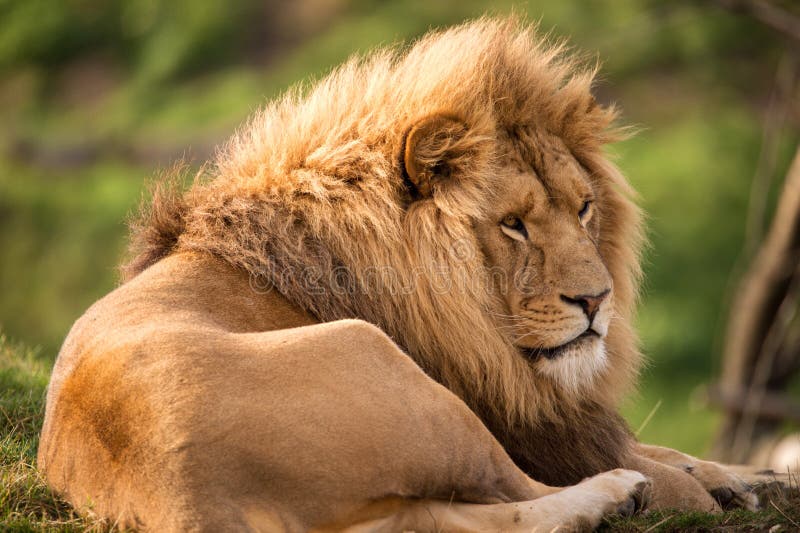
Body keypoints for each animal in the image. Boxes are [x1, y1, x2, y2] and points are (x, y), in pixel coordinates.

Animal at [38, 17, 776, 531]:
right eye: (513, 224)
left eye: (584, 207)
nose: (596, 301)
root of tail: (181, 499)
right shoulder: (508, 406)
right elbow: (628, 455)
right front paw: (703, 483)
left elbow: (662, 446)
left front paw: (745, 472)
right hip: (387, 367)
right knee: (523, 485)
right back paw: (623, 494)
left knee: (472, 516)